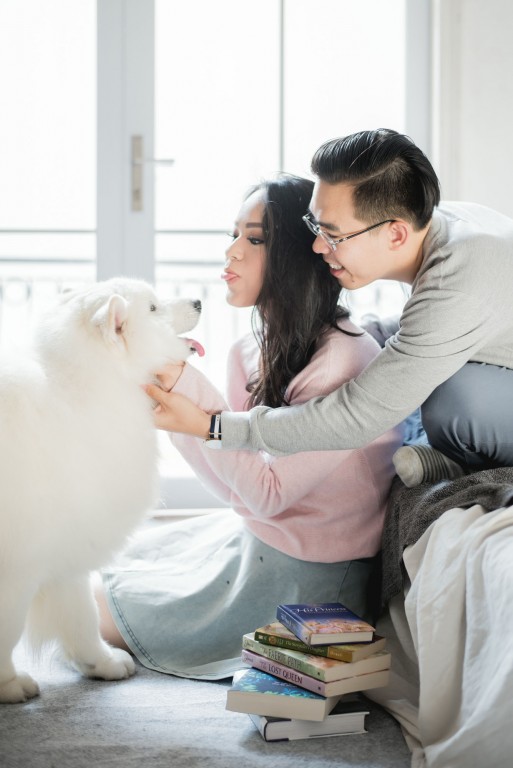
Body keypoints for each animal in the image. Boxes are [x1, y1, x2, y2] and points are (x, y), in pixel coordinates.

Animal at [0, 277, 202, 703]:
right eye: (153, 308)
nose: (198, 301)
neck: (74, 394)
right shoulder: (18, 563)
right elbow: (7, 628)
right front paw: (8, 684)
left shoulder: (71, 536)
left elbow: (81, 613)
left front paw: (101, 662)